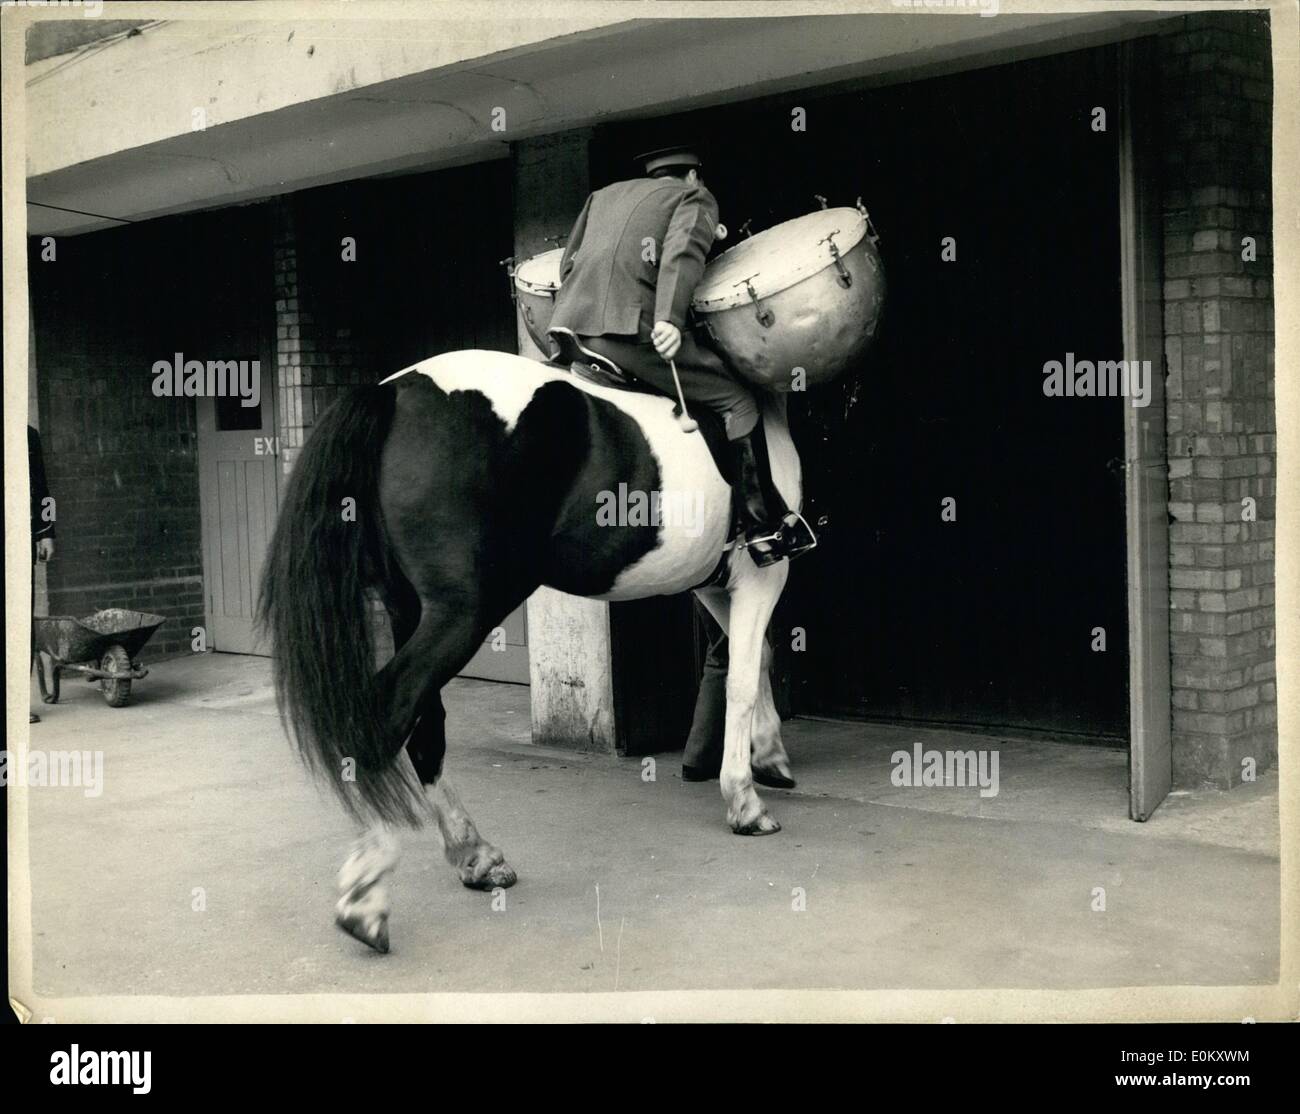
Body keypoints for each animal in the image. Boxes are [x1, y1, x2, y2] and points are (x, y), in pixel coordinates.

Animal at [258, 348, 795, 946]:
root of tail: (393, 393)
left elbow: (759, 660)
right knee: (389, 713)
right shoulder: (761, 574)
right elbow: (742, 680)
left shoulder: (713, 584)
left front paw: (770, 754)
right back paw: (366, 895)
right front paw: (745, 799)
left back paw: (474, 855)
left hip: (410, 610)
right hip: (464, 614)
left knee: (425, 727)